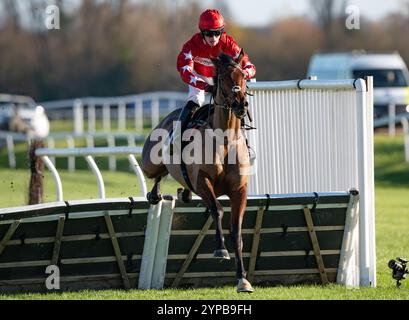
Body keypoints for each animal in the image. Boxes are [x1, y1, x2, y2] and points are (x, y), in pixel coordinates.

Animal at [142, 50, 253, 292]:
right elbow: (217, 210)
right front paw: (220, 249)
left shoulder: (240, 189)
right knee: (155, 175)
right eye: (223, 77)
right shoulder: (202, 181)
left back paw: (182, 193)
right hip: (150, 163)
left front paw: (242, 279)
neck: (225, 140)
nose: (241, 104)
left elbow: (237, 231)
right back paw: (154, 193)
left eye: (243, 75)